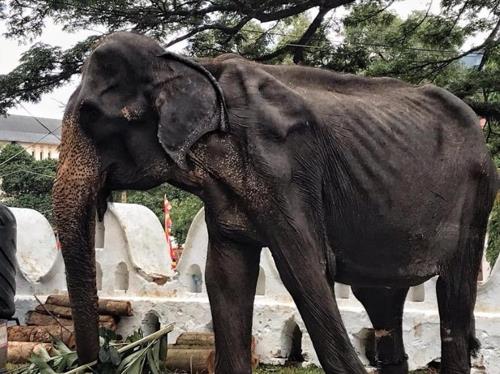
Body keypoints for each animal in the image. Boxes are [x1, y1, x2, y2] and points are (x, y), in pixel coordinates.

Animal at [52, 32, 498, 374]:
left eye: (90, 115)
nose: (99, 359)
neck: (194, 65)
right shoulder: (224, 193)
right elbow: (224, 278)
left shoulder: (284, 169)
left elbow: (305, 271)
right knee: (382, 300)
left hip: (478, 196)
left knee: (453, 295)